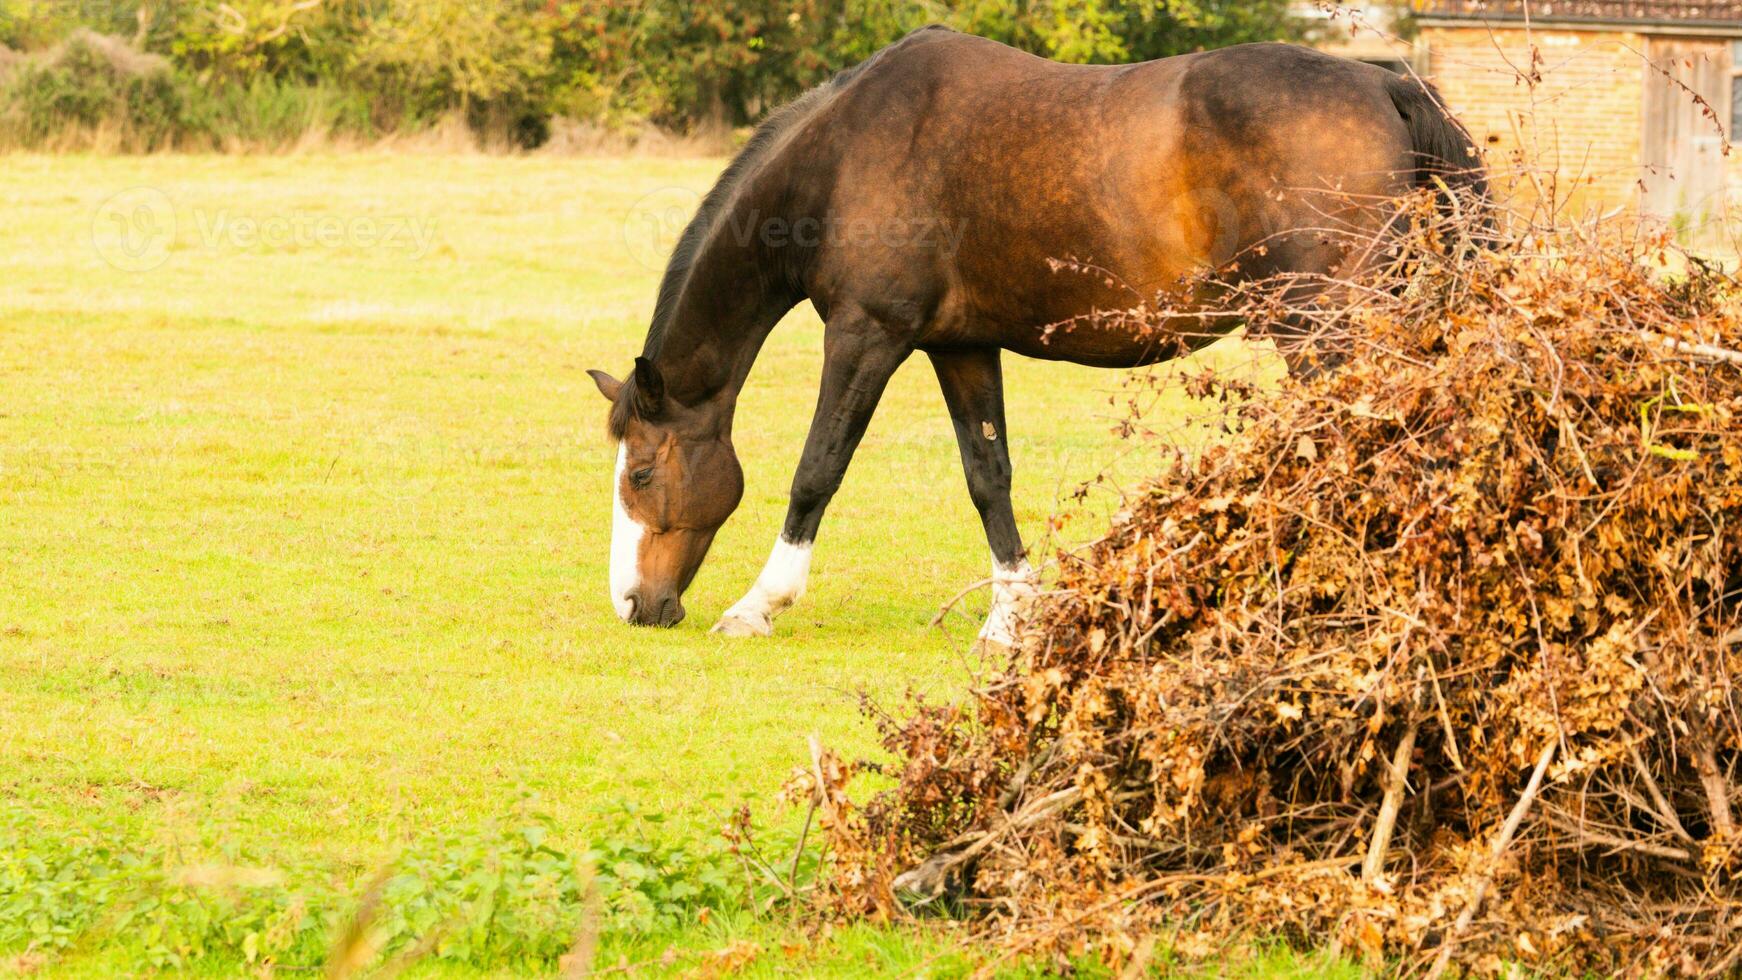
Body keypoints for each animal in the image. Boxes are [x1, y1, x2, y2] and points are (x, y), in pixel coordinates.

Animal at [585, 23, 1484, 644]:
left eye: (640, 473)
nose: (633, 604)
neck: (844, 154)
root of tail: (1387, 84)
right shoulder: (959, 346)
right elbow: (989, 475)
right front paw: (1010, 618)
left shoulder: (866, 336)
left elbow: (817, 470)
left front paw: (757, 605)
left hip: (1324, 330)